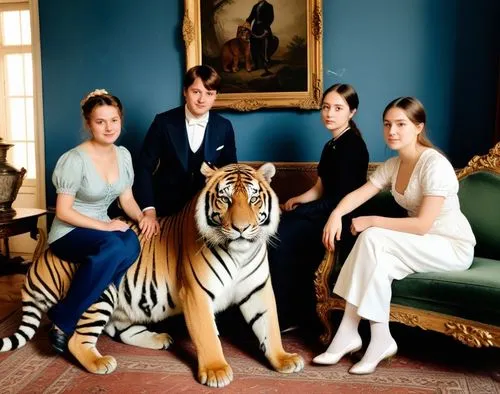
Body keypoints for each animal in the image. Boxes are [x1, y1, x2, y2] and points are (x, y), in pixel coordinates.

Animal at [0, 162, 302, 388]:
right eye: (225, 199)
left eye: (253, 199)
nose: (241, 228)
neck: (239, 254)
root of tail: (42, 259)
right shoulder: (197, 293)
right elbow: (207, 333)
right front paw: (216, 371)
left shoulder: (258, 289)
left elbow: (269, 326)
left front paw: (284, 359)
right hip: (102, 292)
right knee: (77, 337)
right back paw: (100, 362)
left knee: (117, 328)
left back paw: (160, 339)